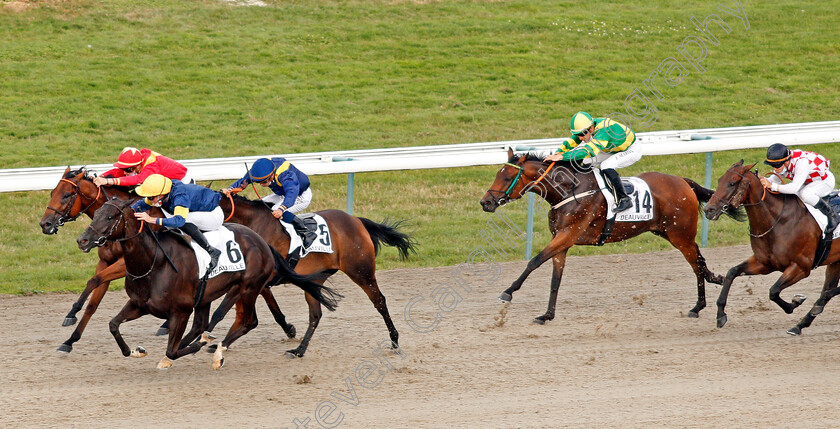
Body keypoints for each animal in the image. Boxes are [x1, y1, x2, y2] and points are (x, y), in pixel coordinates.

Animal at [76, 197, 342, 368]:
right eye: (96, 213)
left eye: (110, 216)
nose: (82, 239)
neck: (153, 262)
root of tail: (261, 241)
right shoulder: (139, 304)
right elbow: (113, 325)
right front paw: (134, 350)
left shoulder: (180, 311)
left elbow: (172, 349)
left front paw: (197, 347)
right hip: (209, 295)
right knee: (206, 324)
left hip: (247, 287)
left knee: (245, 321)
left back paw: (215, 350)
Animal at [210, 195, 416, 358]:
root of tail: (356, 220)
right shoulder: (259, 283)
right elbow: (271, 309)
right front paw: (289, 329)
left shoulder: (252, 281)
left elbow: (221, 310)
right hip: (316, 280)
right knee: (316, 314)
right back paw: (299, 350)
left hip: (361, 271)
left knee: (379, 301)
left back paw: (394, 340)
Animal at [480, 149, 740, 322]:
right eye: (497, 175)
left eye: (506, 177)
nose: (486, 202)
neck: (569, 191)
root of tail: (682, 182)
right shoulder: (563, 242)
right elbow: (556, 279)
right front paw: (547, 315)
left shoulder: (567, 235)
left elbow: (534, 261)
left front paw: (508, 292)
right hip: (667, 233)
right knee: (700, 261)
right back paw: (713, 281)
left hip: (680, 236)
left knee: (696, 264)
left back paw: (698, 306)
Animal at [704, 159, 840, 332]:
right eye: (720, 180)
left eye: (732, 183)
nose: (708, 210)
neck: (778, 221)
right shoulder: (764, 263)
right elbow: (732, 272)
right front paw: (720, 315)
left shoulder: (802, 267)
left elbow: (773, 291)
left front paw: (794, 302)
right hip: (835, 262)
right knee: (827, 290)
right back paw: (800, 325)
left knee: (827, 292)